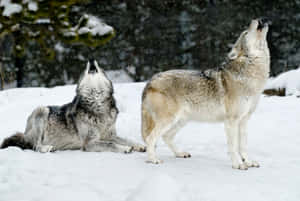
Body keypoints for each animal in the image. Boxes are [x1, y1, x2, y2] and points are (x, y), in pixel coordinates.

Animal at [0, 60, 146, 153]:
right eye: (85, 69)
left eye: (99, 66)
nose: (91, 59)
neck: (97, 104)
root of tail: (25, 133)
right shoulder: (89, 143)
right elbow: (111, 144)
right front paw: (125, 148)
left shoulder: (110, 135)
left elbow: (127, 139)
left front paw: (140, 146)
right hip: (42, 110)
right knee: (36, 146)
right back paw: (47, 148)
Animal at [142, 18, 270, 170]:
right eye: (246, 32)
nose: (258, 19)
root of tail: (151, 80)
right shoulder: (231, 121)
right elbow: (233, 147)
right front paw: (238, 164)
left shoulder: (244, 120)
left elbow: (243, 145)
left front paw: (248, 162)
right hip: (169, 120)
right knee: (150, 138)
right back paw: (153, 160)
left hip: (181, 121)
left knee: (166, 136)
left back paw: (180, 153)